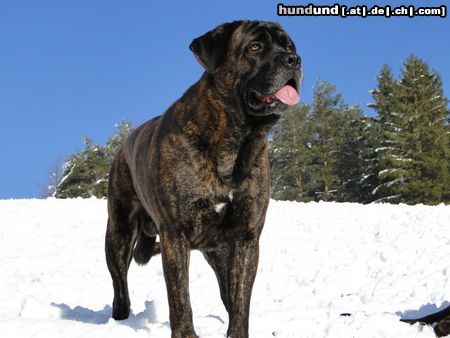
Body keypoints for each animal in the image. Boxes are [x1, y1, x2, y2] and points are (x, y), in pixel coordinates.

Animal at [105, 19, 302, 336]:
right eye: (255, 47)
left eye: (289, 46)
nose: (293, 60)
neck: (235, 140)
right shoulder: (175, 234)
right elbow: (180, 296)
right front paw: (186, 333)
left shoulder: (246, 237)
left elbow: (240, 301)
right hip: (119, 230)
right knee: (120, 286)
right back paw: (120, 318)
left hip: (218, 251)